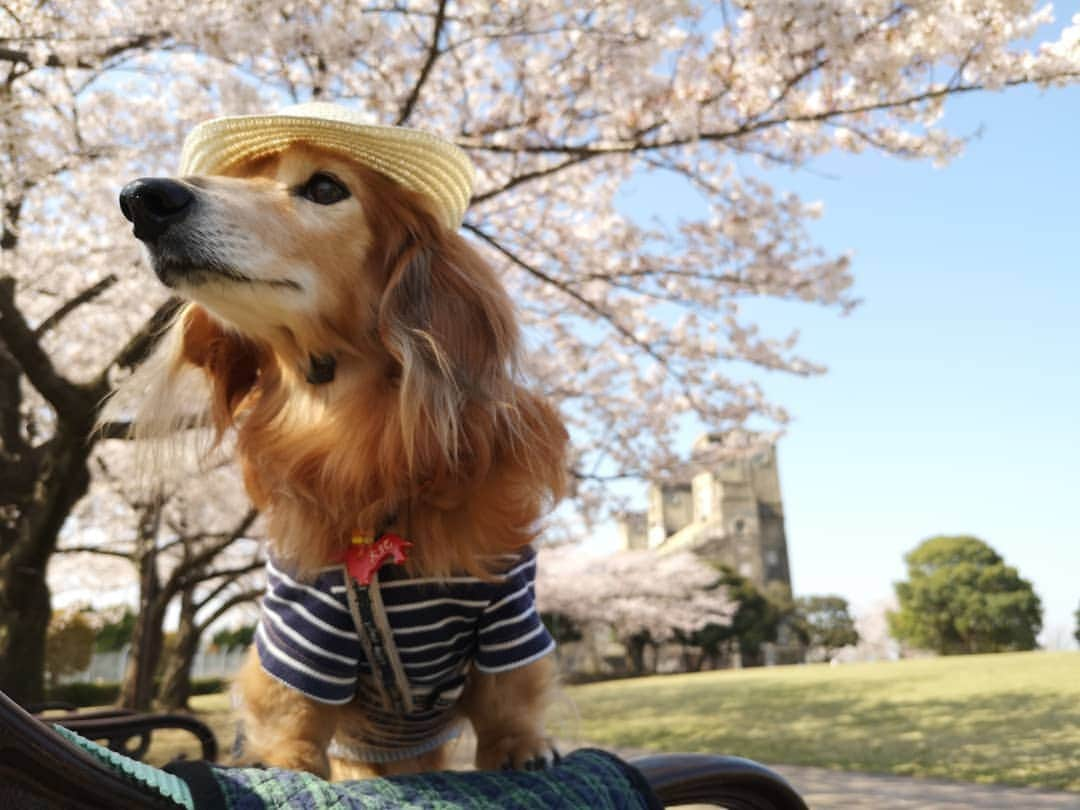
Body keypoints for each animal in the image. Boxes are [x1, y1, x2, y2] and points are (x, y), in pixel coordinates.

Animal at [118, 120, 570, 781]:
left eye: (326, 187)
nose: (142, 198)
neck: (354, 432)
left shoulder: (505, 608)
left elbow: (508, 693)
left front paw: (521, 749)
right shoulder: (303, 625)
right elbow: (294, 712)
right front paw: (287, 766)